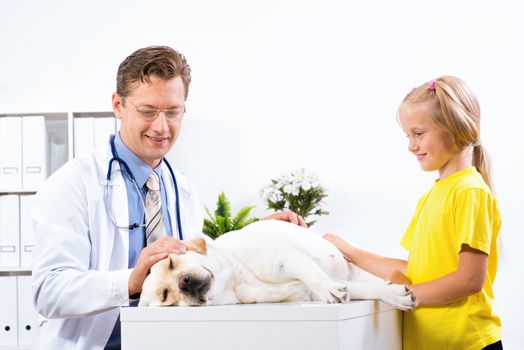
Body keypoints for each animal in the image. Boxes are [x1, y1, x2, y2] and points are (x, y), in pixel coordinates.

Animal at [138, 220, 418, 310]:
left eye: (172, 262)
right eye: (166, 295)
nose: (184, 283)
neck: (235, 279)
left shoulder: (287, 258)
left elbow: (315, 276)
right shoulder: (307, 291)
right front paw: (394, 295)